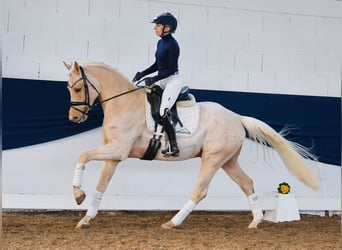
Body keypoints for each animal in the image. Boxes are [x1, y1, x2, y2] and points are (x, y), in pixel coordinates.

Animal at [62, 60, 318, 229]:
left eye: (78, 88)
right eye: (68, 88)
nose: (74, 118)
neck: (122, 103)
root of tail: (236, 117)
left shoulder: (118, 150)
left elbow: (82, 156)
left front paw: (77, 195)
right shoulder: (114, 155)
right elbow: (101, 186)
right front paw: (85, 217)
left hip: (213, 159)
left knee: (201, 190)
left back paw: (172, 222)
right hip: (228, 161)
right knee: (247, 183)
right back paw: (256, 221)